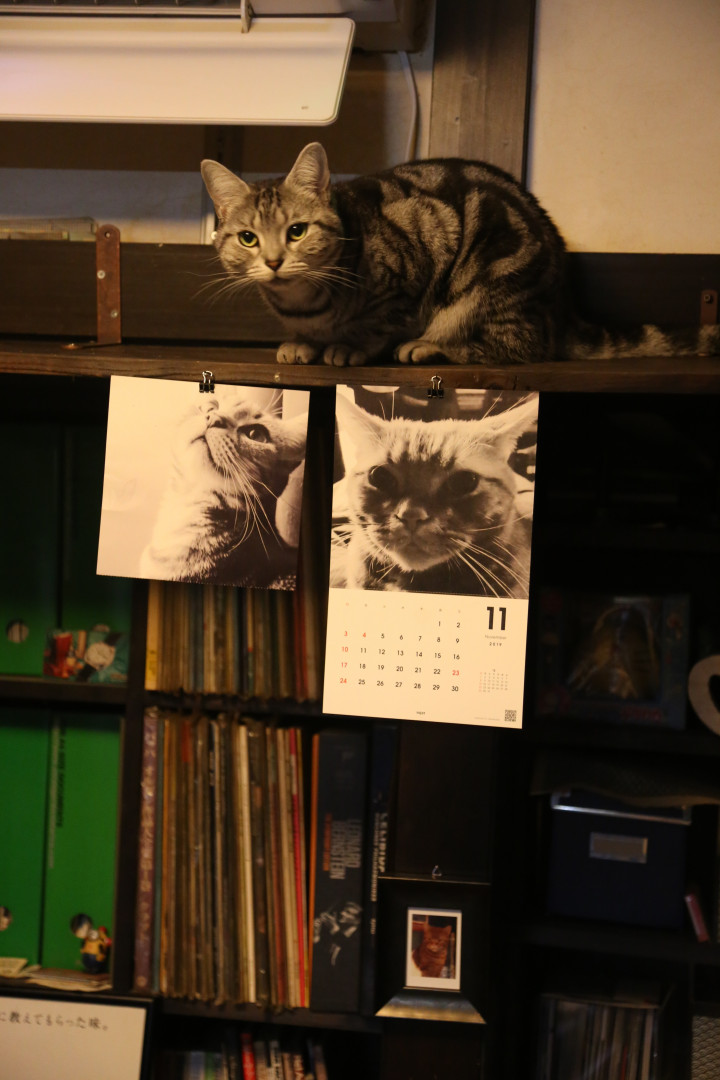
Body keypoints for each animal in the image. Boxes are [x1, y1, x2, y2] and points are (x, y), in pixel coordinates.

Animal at [200, 143, 720, 367]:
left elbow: (377, 323)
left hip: (491, 278)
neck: (306, 302)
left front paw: (348, 346)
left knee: (519, 347)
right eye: (248, 238)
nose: (273, 262)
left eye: (297, 231)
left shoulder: (416, 257)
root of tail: (564, 307)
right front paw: (302, 342)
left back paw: (429, 346)